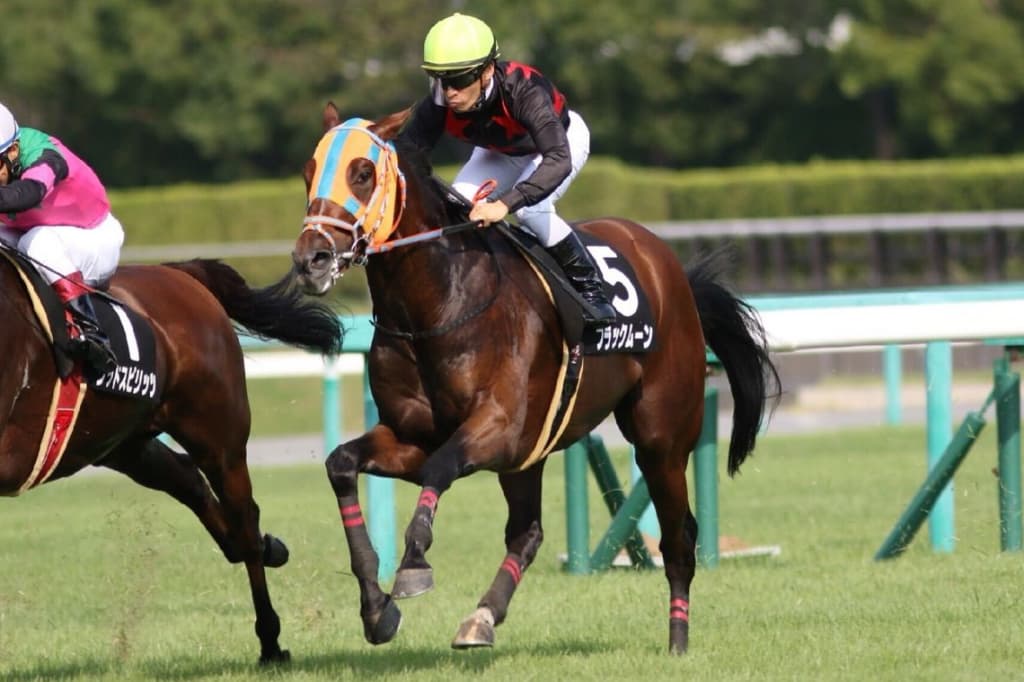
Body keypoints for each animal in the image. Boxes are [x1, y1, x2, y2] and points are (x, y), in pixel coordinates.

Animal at [0, 254, 343, 664]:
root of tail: (178, 272)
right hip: (120, 441)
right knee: (189, 480)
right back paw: (268, 548)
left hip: (217, 436)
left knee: (242, 516)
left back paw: (270, 641)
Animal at [286, 103, 780, 654]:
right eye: (308, 171)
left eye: (363, 173)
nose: (311, 259)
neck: (439, 303)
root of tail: (671, 268)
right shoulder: (413, 436)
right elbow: (342, 464)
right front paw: (376, 607)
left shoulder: (498, 429)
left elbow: (439, 469)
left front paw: (412, 568)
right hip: (531, 454)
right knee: (527, 533)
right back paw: (481, 618)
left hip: (660, 437)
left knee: (679, 536)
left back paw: (677, 640)